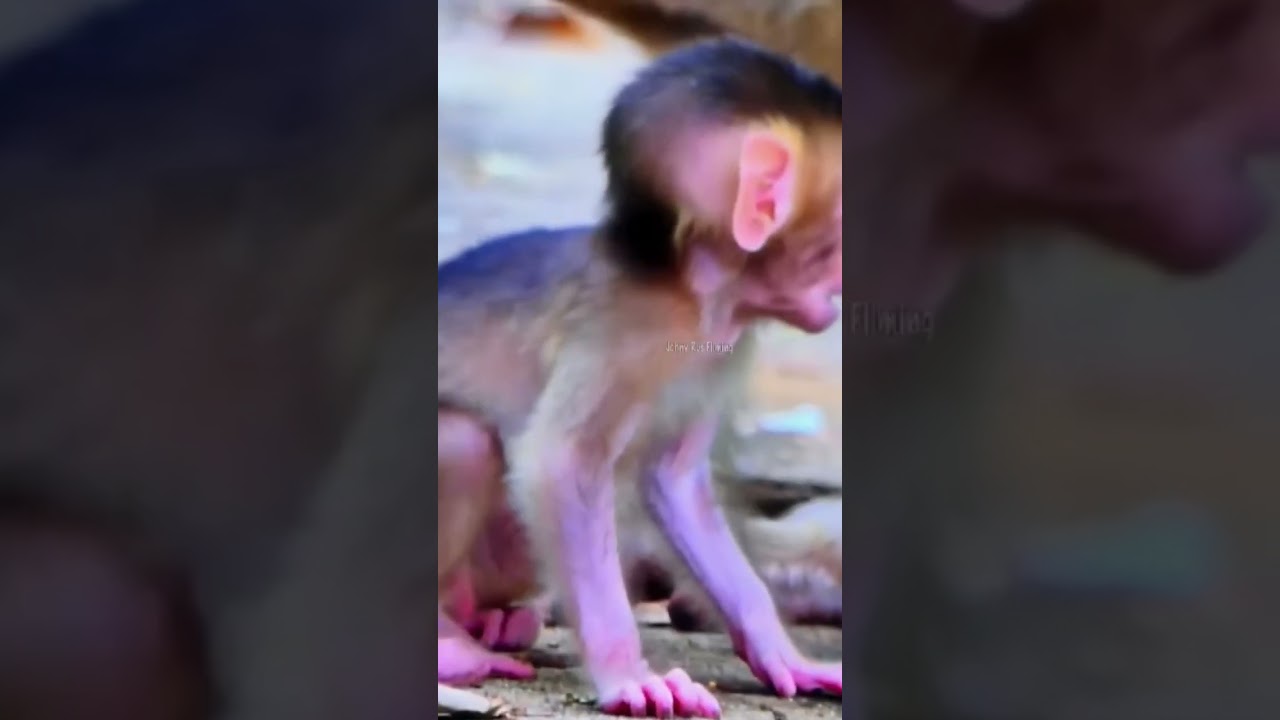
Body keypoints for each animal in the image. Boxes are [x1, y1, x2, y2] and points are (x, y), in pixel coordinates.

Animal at [436, 38, 843, 717]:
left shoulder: (723, 348)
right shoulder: (623, 333)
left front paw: (780, 651)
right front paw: (627, 675)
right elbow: (561, 463)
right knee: (463, 442)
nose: (839, 296)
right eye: (838, 243)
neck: (697, 292)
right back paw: (449, 645)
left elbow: (675, 483)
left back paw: (498, 619)